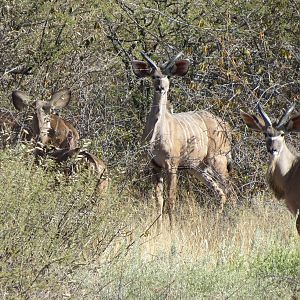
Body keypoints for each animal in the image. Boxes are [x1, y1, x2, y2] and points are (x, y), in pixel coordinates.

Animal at [132, 52, 233, 230]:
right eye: (154, 76)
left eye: (168, 75)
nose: (161, 87)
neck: (156, 137)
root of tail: (226, 126)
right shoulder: (155, 165)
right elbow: (158, 199)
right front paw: (158, 229)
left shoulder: (172, 164)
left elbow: (171, 198)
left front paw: (172, 228)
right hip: (198, 167)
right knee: (220, 192)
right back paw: (216, 223)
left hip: (218, 159)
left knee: (229, 189)